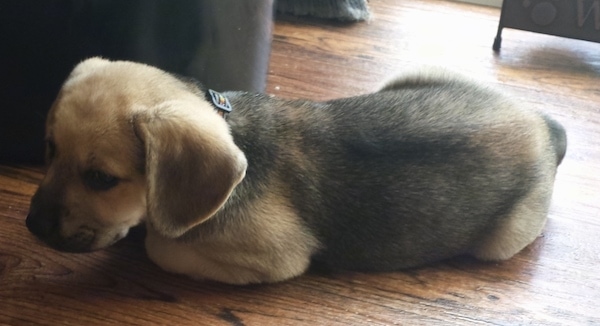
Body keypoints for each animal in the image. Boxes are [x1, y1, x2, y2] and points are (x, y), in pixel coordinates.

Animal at [24, 57, 568, 284]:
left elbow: (161, 243)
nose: (30, 226)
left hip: (503, 240)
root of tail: (543, 126)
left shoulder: (279, 259)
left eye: (101, 180)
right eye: (48, 149)